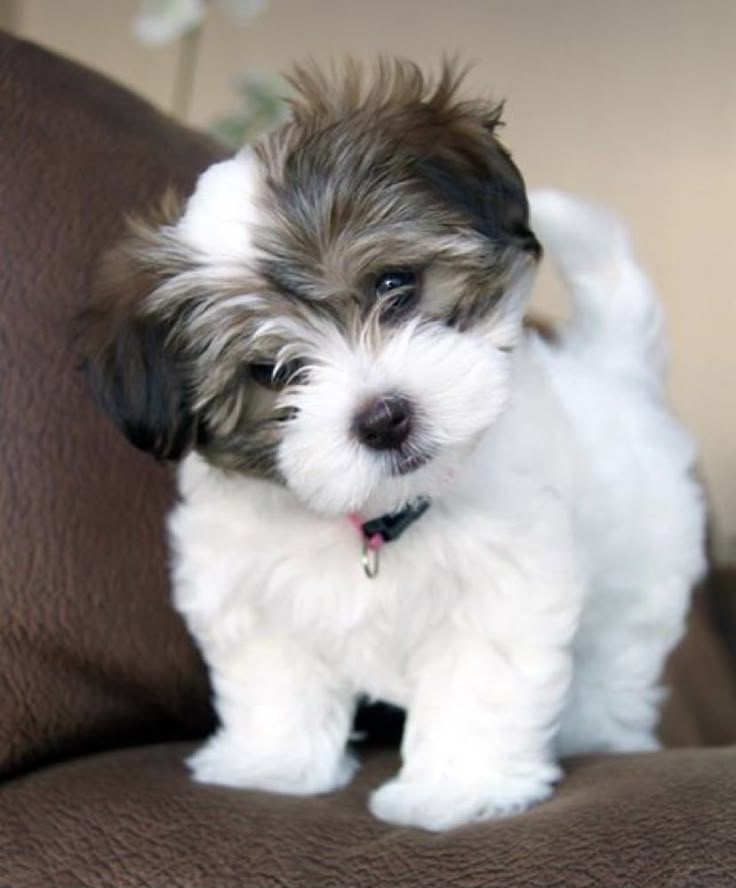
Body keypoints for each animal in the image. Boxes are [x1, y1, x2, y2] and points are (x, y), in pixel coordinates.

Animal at [82, 62, 708, 832]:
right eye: (272, 372)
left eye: (394, 284)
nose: (383, 418)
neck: (384, 516)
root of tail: (613, 370)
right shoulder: (247, 587)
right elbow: (274, 676)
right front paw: (273, 765)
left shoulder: (504, 586)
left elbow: (478, 684)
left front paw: (460, 790)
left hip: (641, 578)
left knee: (617, 660)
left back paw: (600, 732)